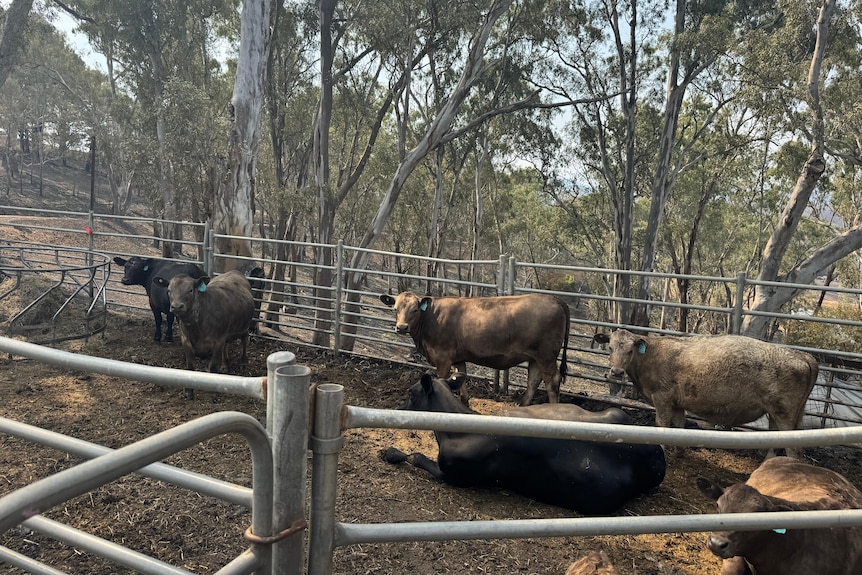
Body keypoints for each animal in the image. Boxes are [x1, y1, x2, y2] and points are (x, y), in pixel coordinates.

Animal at [153, 269, 255, 400]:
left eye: (190, 290)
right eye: (169, 290)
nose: (176, 306)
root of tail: (234, 271)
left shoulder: (218, 341)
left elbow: (213, 367)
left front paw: (215, 394)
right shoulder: (186, 340)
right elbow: (190, 366)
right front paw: (189, 393)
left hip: (244, 327)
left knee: (244, 341)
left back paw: (243, 362)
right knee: (227, 346)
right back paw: (225, 364)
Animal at [379, 291, 570, 406]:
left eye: (415, 309)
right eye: (395, 309)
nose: (401, 327)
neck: (430, 318)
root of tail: (554, 298)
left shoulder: (443, 359)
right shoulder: (458, 359)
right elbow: (461, 382)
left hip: (546, 356)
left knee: (552, 382)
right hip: (535, 358)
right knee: (533, 382)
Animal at [382, 373, 666, 515]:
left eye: (411, 392)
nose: (396, 408)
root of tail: (654, 453)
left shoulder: (455, 474)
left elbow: (415, 456)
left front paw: (390, 452)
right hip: (614, 413)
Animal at [593, 329, 818, 459]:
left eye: (630, 351)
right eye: (610, 347)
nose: (616, 372)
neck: (651, 355)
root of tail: (802, 355)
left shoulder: (662, 397)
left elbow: (662, 425)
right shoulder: (677, 402)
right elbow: (679, 426)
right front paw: (680, 451)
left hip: (784, 414)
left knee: (793, 449)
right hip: (776, 413)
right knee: (775, 440)